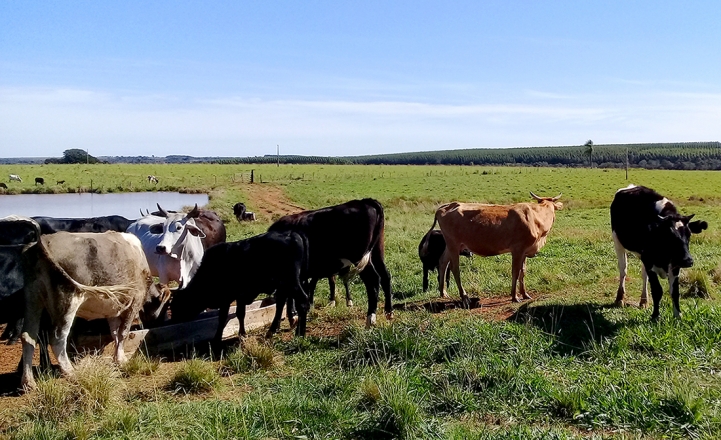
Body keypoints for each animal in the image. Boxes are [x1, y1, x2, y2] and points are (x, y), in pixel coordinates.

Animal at [16, 217, 170, 388]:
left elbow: (115, 332)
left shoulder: (114, 308)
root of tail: (40, 242)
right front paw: (121, 360)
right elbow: (123, 332)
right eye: (164, 306)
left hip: (33, 297)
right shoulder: (134, 302)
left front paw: (118, 357)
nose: (162, 322)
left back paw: (28, 382)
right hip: (67, 299)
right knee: (57, 339)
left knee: (28, 336)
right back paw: (71, 373)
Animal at [174, 230, 312, 344]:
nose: (176, 319)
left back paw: (299, 335)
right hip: (285, 285)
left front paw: (219, 338)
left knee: (302, 302)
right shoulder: (239, 296)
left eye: (177, 304)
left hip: (292, 282)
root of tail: (292, 234)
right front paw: (241, 333)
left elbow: (227, 316)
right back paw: (272, 331)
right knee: (281, 305)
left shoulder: (230, 297)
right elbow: (239, 314)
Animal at [428, 192, 564, 306]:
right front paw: (514, 297)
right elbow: (515, 272)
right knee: (455, 268)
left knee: (443, 262)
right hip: (453, 244)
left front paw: (525, 294)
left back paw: (443, 292)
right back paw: (464, 297)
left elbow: (523, 272)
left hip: (452, 245)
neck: (535, 218)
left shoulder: (525, 252)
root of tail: (448, 205)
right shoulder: (517, 250)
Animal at [612, 185, 704, 320]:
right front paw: (655, 316)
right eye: (670, 236)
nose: (688, 261)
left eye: (689, 234)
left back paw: (644, 301)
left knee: (643, 275)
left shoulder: (674, 264)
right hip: (618, 242)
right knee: (623, 270)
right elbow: (657, 290)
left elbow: (675, 292)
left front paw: (678, 316)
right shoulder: (649, 260)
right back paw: (620, 298)